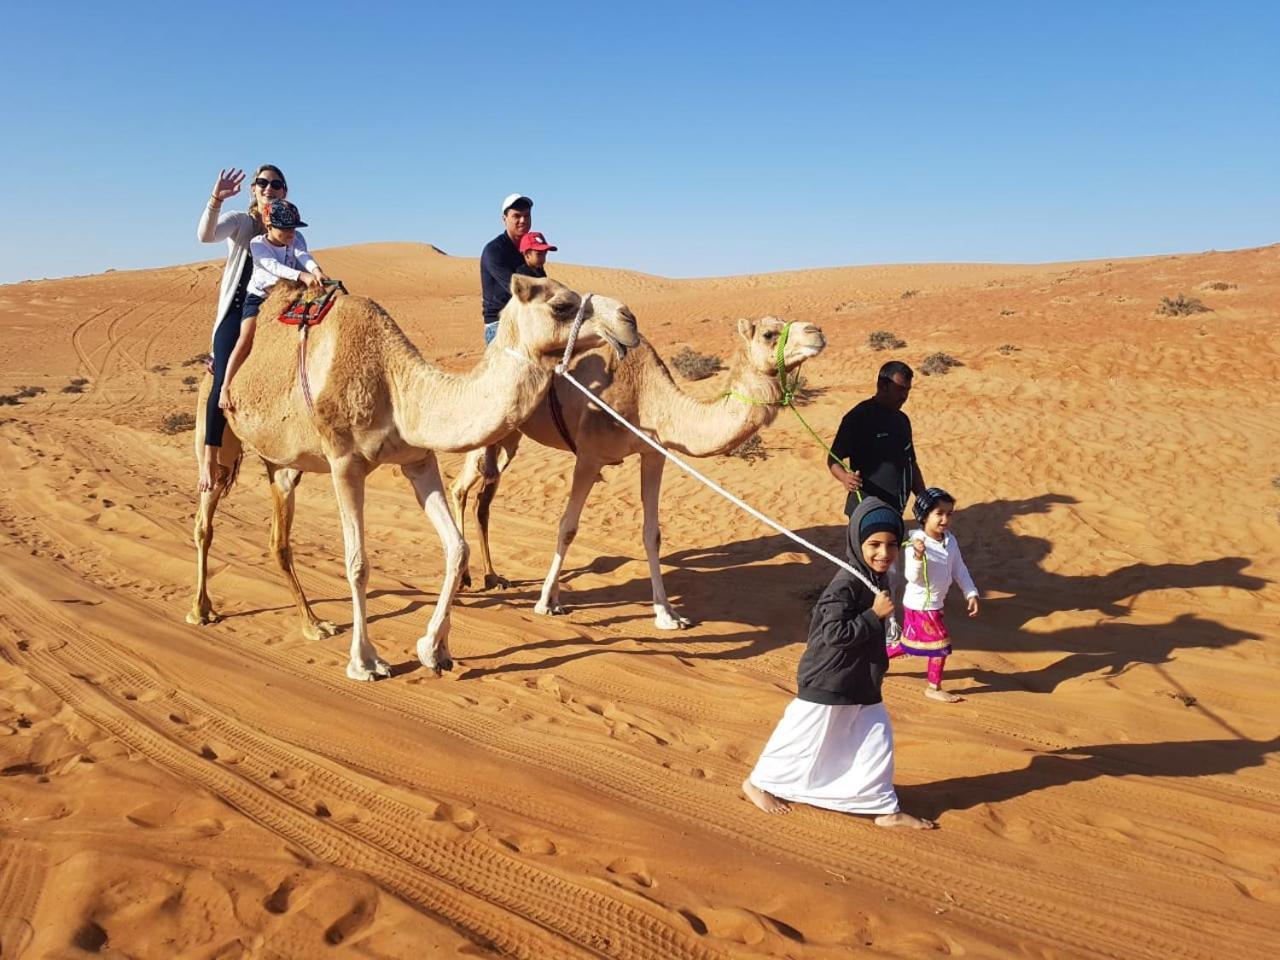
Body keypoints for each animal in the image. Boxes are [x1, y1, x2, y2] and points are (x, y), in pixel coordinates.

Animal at [183, 273, 640, 680]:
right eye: (562, 305)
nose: (629, 318)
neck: (395, 385)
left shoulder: (418, 459)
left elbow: (457, 549)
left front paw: (434, 650)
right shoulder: (344, 463)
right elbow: (357, 562)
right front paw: (366, 661)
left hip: (283, 463)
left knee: (278, 538)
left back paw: (313, 623)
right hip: (217, 428)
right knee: (205, 517)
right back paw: (201, 609)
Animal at [450, 316, 829, 632]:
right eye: (768, 334)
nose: (817, 332)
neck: (647, 396)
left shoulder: (654, 453)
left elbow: (652, 533)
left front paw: (668, 615)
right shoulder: (589, 456)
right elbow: (568, 527)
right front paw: (546, 602)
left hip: (510, 438)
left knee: (483, 498)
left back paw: (492, 576)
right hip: (486, 424)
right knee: (459, 487)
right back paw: (465, 579)